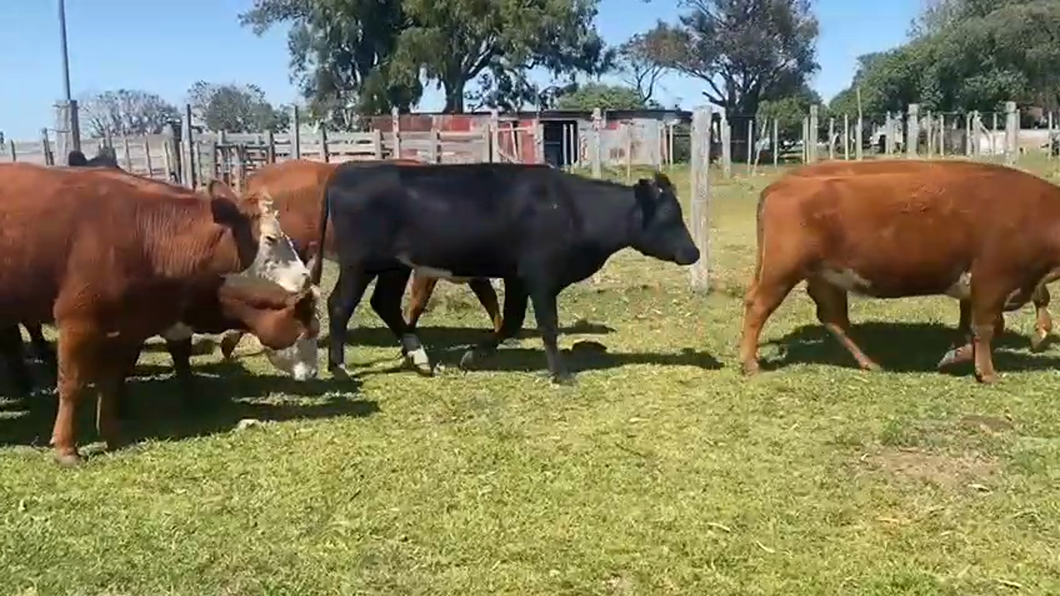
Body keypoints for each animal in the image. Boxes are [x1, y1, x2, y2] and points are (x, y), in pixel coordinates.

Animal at [0, 163, 317, 464]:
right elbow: (71, 384)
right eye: (271, 238)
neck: (144, 235)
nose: (304, 276)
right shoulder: (78, 322)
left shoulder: (129, 328)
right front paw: (67, 447)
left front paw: (113, 434)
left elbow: (111, 380)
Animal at [309, 162, 699, 381]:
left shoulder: (517, 277)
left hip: (394, 266)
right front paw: (561, 374)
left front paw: (473, 355)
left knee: (385, 303)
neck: (572, 208)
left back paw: (420, 359)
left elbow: (510, 322)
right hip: (359, 263)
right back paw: (339, 368)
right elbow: (547, 325)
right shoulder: (541, 276)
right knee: (340, 305)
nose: (693, 252)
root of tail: (344, 171)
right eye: (669, 217)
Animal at [741, 158, 1060, 379]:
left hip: (825, 278)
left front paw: (955, 355)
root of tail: (781, 185)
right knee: (758, 306)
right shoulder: (993, 279)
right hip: (781, 271)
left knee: (834, 319)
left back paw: (870, 363)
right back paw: (750, 364)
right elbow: (986, 326)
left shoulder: (978, 285)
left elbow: (975, 325)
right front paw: (988, 373)